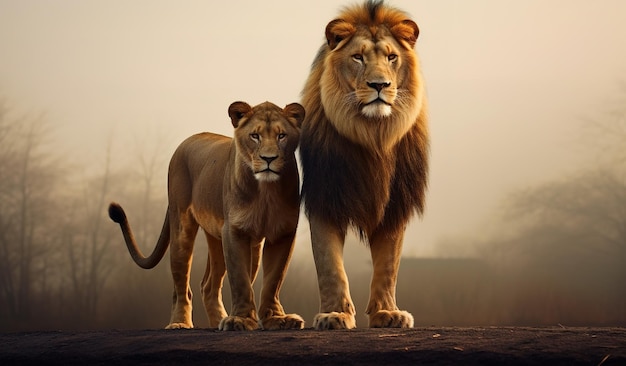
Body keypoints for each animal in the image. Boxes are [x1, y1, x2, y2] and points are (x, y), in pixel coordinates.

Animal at [108, 101, 306, 332]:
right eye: (254, 136)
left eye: (281, 135)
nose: (268, 158)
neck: (266, 190)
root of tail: (187, 141)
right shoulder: (234, 231)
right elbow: (240, 280)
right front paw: (240, 320)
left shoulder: (283, 233)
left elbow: (274, 279)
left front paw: (277, 318)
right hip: (182, 227)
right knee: (181, 286)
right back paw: (179, 323)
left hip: (225, 240)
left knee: (209, 285)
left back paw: (218, 319)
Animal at [298, 0, 426, 330]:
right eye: (358, 57)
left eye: (392, 57)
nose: (379, 84)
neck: (372, 135)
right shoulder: (324, 197)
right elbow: (330, 265)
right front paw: (335, 315)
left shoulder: (395, 203)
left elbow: (388, 266)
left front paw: (388, 314)